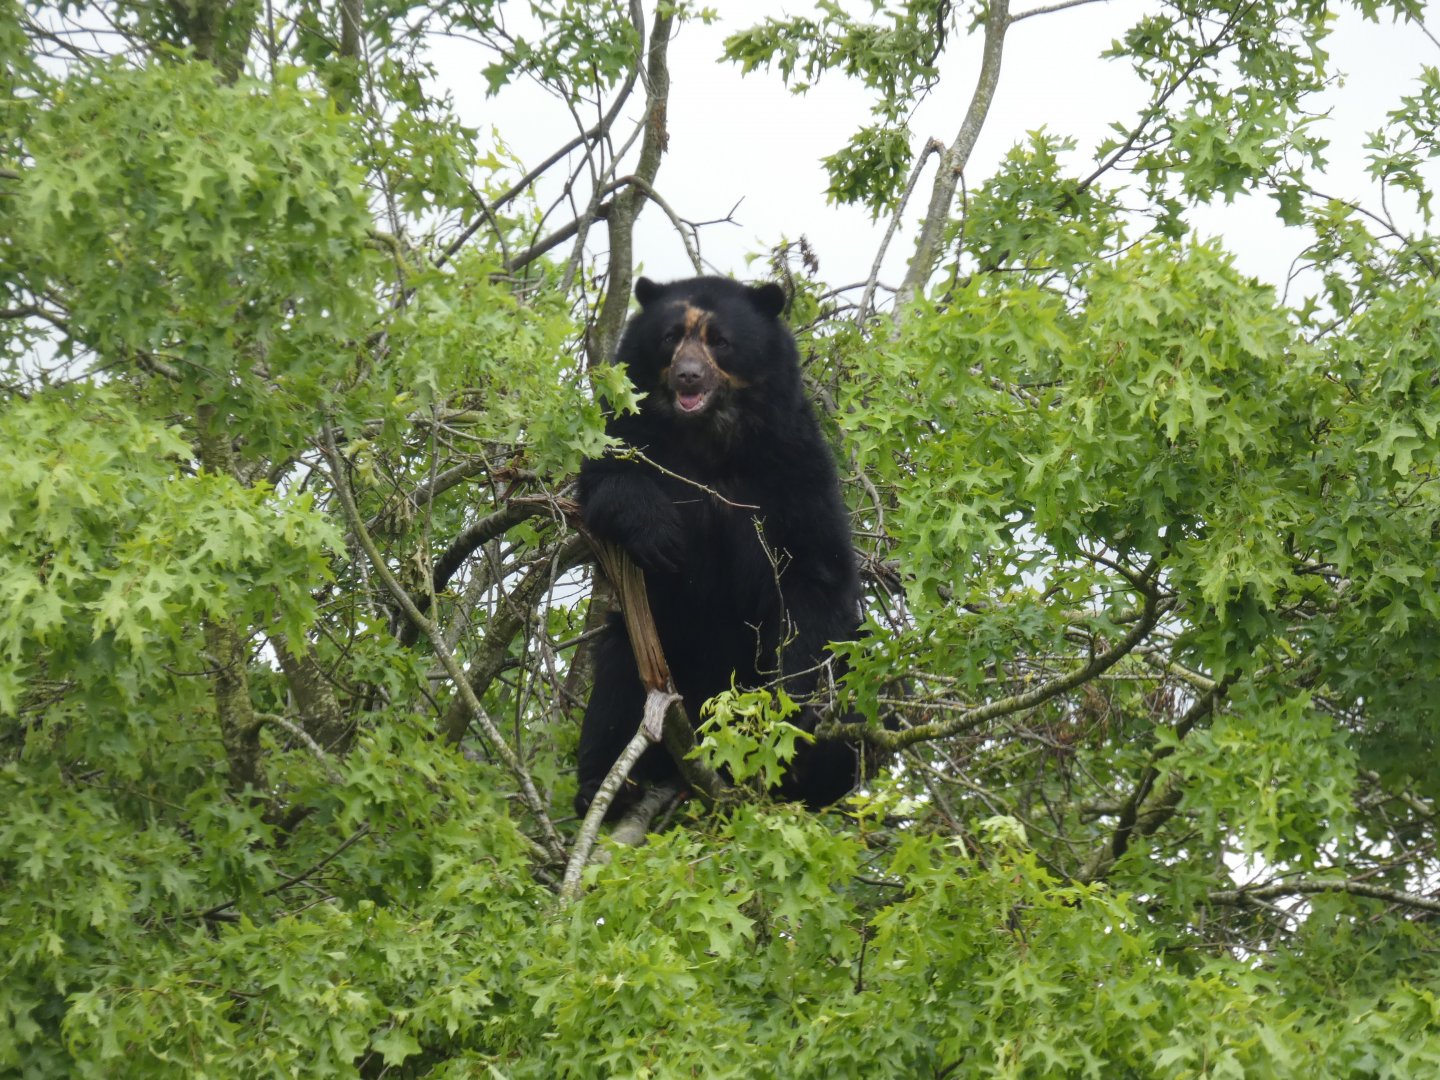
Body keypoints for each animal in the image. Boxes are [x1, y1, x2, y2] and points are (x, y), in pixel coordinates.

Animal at [575, 275, 865, 818]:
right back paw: (607, 787)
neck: (707, 439)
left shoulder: (793, 464)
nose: (688, 377)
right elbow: (605, 482)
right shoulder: (631, 432)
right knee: (613, 689)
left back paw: (817, 770)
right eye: (670, 336)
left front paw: (794, 712)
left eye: (721, 341)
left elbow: (814, 573)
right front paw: (660, 534)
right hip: (649, 654)